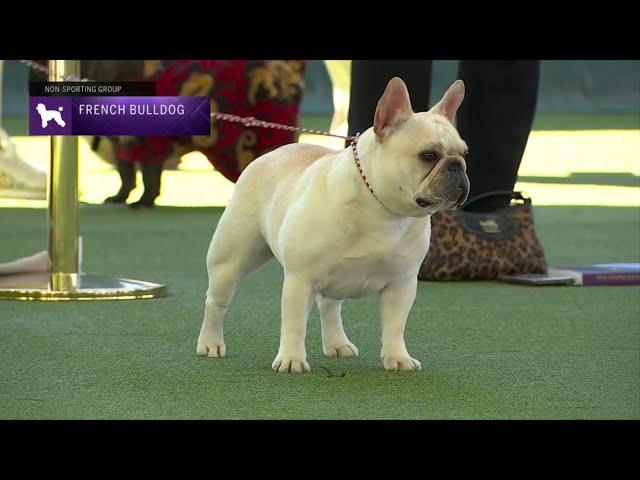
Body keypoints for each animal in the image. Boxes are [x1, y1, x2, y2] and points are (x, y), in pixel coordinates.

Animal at [199, 77, 470, 374]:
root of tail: (271, 154)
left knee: (329, 306)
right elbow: (294, 324)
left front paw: (397, 357)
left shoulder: (402, 284)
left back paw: (337, 343)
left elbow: (395, 326)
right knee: (216, 301)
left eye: (464, 153)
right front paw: (291, 359)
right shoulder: (300, 279)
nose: (458, 166)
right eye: (429, 155)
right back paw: (210, 343)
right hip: (231, 260)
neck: (383, 211)